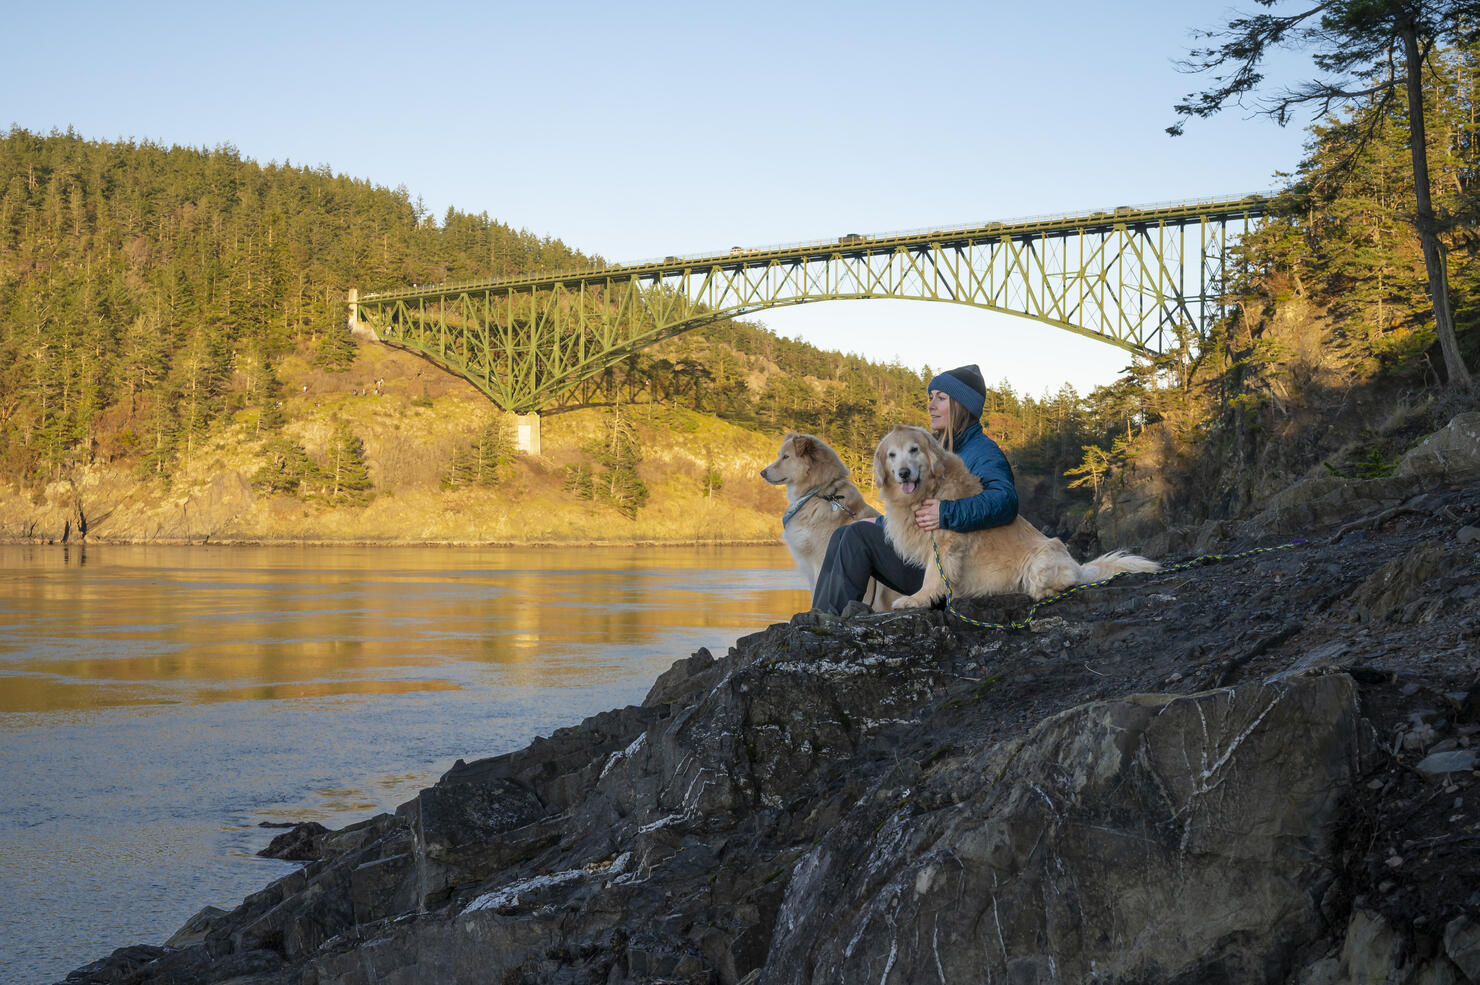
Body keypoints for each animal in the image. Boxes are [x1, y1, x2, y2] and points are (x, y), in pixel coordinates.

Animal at [870, 422, 1160, 606]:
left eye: (914, 450)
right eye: (892, 455)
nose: (903, 473)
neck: (929, 490)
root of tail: (1079, 566)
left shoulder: (944, 542)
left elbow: (932, 577)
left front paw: (916, 599)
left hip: (1040, 559)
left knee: (1062, 583)